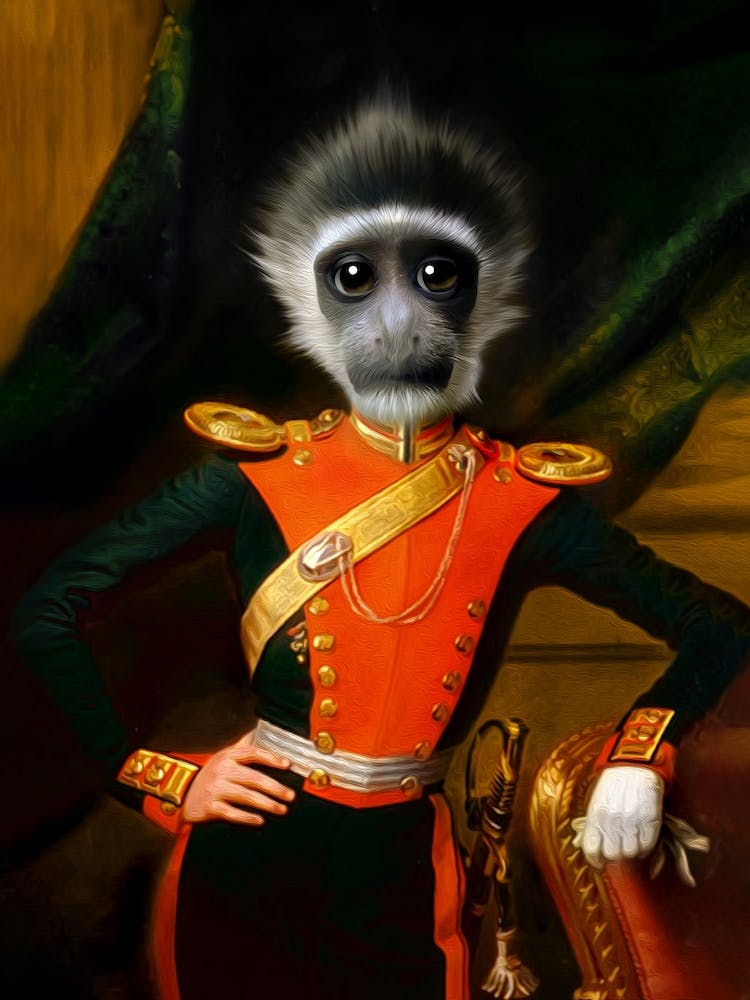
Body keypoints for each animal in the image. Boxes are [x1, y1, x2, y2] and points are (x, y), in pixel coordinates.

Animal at [11, 92, 750, 1000]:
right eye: (354, 276)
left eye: (439, 274)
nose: (399, 324)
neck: (394, 447)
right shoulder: (219, 478)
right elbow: (55, 598)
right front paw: (206, 780)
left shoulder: (564, 518)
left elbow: (710, 618)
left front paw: (625, 791)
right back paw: (210, 781)